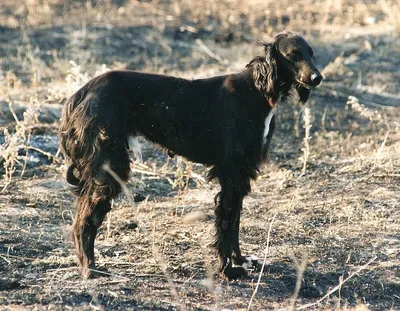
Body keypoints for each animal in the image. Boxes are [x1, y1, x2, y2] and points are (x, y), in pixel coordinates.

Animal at [58, 31, 322, 280]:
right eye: (293, 54)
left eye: (311, 53)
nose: (318, 78)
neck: (257, 90)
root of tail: (80, 93)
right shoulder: (231, 172)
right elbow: (226, 223)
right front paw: (227, 270)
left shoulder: (241, 174)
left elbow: (235, 222)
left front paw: (240, 260)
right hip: (109, 168)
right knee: (83, 221)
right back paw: (90, 268)